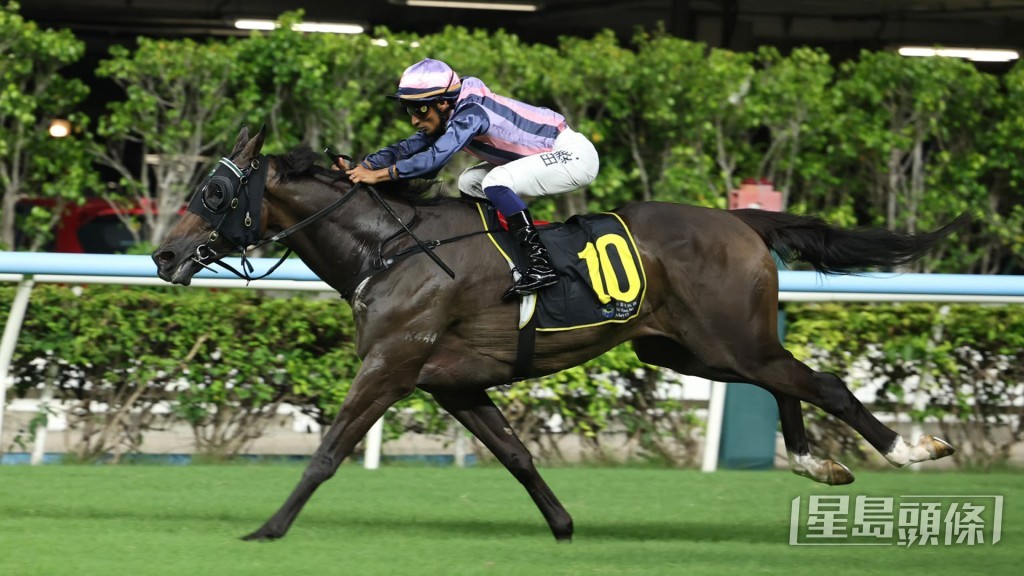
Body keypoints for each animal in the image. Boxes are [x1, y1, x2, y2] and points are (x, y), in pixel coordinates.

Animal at [153, 126, 965, 541]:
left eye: (214, 192)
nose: (163, 256)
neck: (390, 247)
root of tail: (742, 219)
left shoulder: (391, 365)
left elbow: (328, 451)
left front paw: (267, 530)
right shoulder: (454, 383)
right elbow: (516, 455)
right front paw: (565, 526)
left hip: (724, 340)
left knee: (819, 380)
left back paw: (912, 448)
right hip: (689, 348)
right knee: (787, 379)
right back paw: (814, 462)